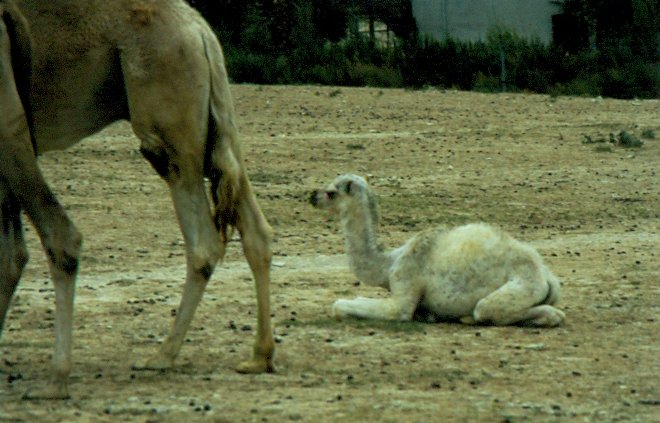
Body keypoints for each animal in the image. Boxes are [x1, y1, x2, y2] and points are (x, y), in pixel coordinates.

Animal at [0, 0, 274, 400]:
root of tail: (198, 29)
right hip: (215, 125)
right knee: (255, 230)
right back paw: (258, 356)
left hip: (165, 126)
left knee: (202, 241)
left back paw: (153, 358)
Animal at [310, 174, 564, 326]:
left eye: (332, 192)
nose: (312, 196)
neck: (389, 263)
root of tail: (546, 278)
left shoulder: (405, 282)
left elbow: (342, 306)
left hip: (521, 286)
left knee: (490, 310)